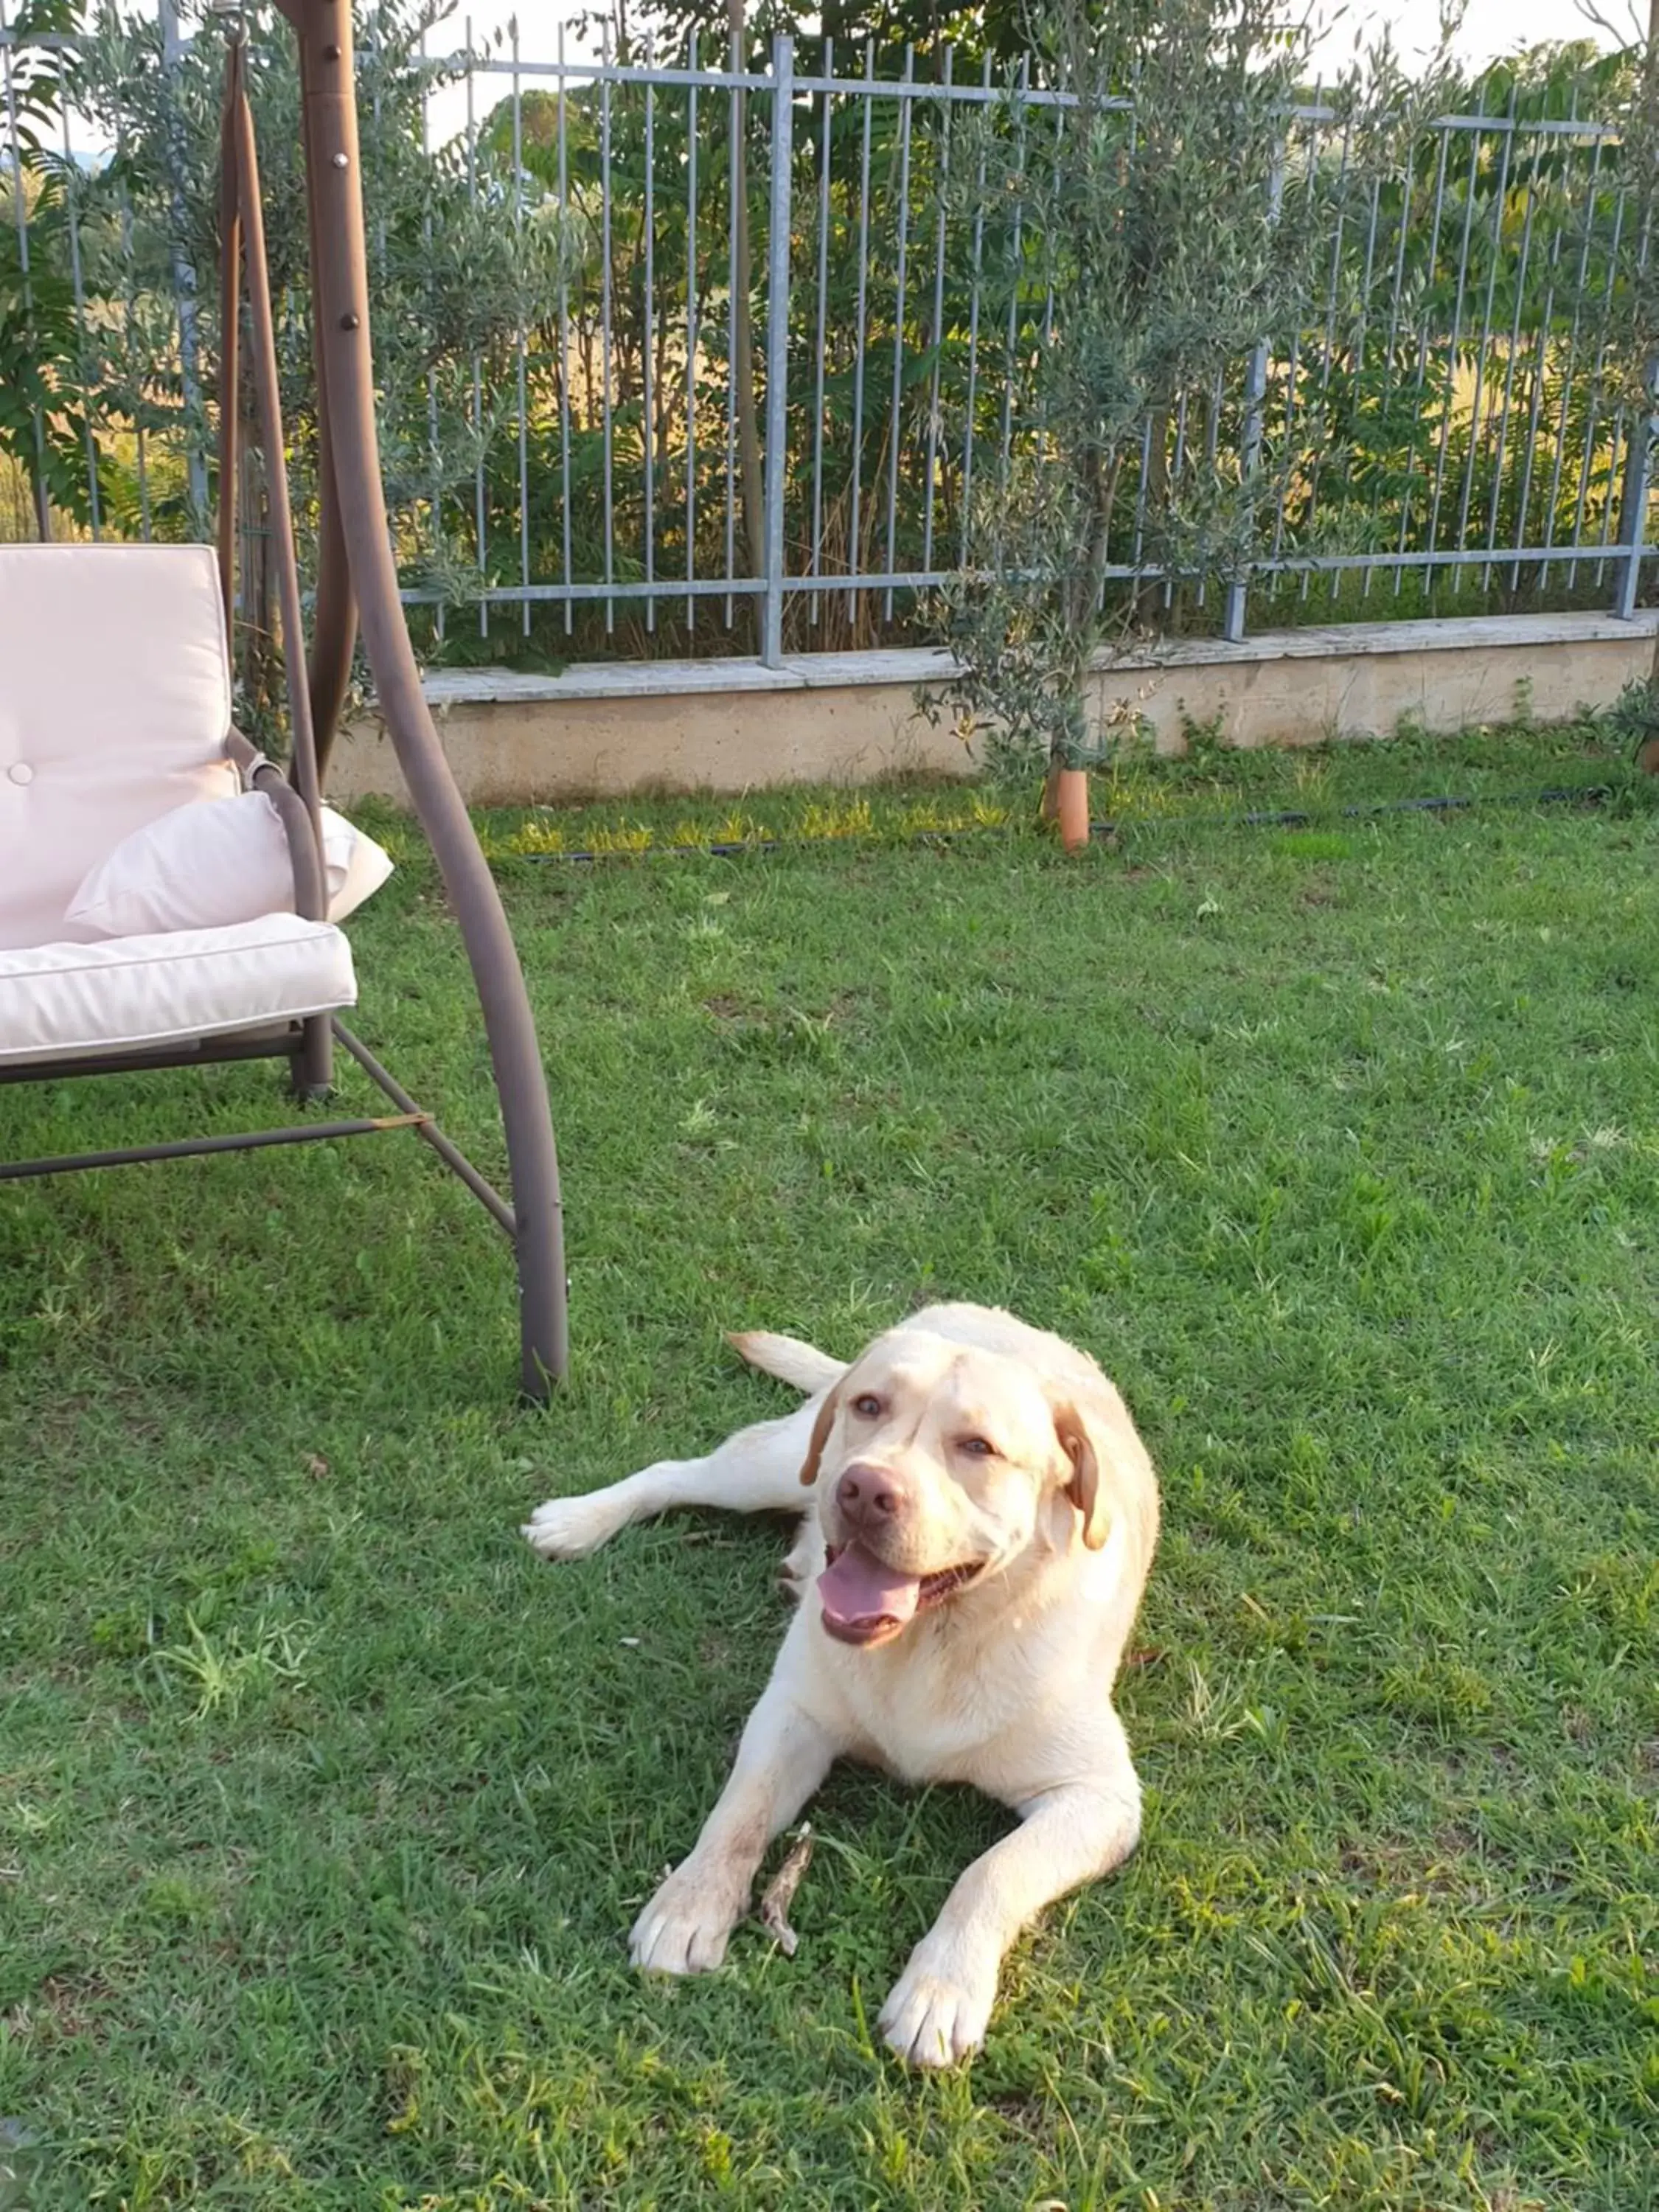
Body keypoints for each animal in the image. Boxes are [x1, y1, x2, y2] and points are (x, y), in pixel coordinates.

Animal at [526, 1301, 1159, 2062]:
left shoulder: (1098, 1798)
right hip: (779, 1467)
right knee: (676, 1470)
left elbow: (993, 1872)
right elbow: (739, 1814)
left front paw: (942, 1989)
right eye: (870, 1406)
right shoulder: (792, 1717)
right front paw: (691, 1903)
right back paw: (578, 1519)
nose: (864, 1489)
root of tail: (972, 1310)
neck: (929, 1646)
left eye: (978, 1446)